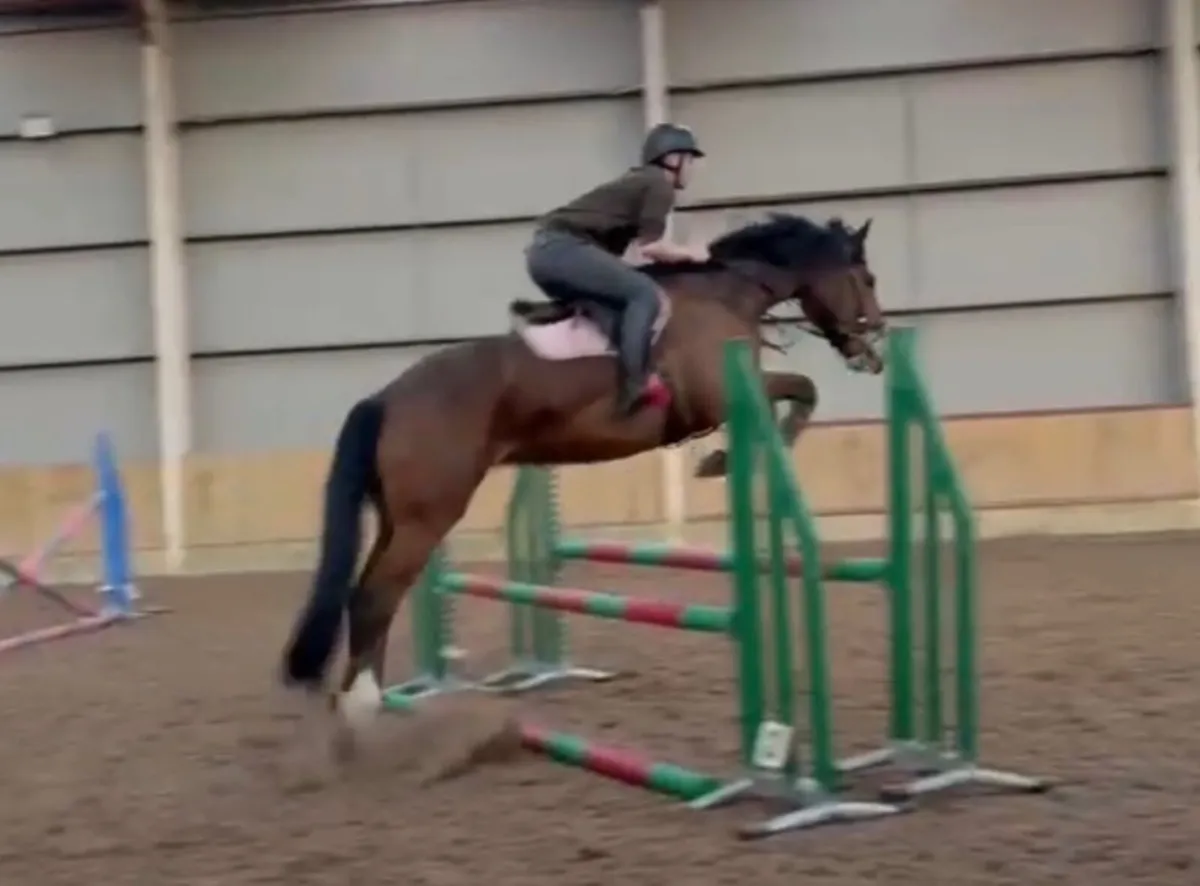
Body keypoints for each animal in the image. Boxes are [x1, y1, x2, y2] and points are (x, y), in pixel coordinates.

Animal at [279, 212, 885, 738]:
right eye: (867, 278)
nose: (874, 348)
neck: (728, 293)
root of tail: (386, 398)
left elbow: (801, 392)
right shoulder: (724, 397)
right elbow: (803, 391)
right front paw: (724, 462)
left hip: (398, 517)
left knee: (369, 594)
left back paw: (368, 705)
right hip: (427, 517)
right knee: (375, 596)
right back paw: (362, 706)